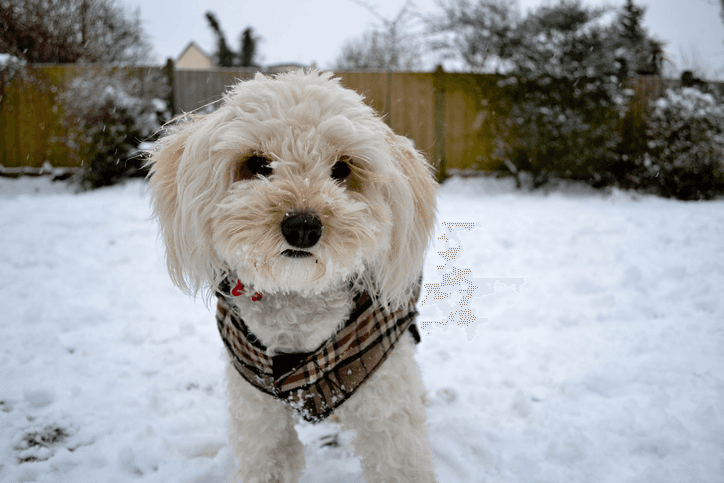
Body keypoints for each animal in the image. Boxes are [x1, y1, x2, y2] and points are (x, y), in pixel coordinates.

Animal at [148, 69, 436, 483]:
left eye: (342, 168)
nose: (302, 227)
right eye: (257, 163)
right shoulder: (259, 415)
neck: (298, 301)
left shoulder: (388, 409)